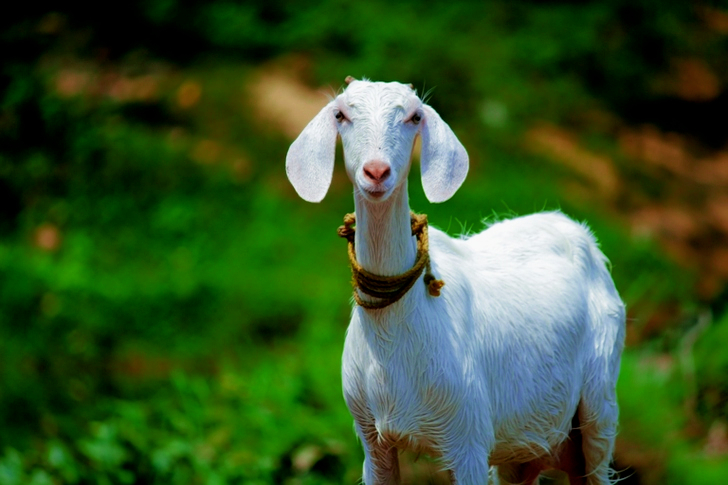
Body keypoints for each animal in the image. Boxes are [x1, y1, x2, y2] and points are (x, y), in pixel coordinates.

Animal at [285, 78, 625, 485]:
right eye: (340, 114)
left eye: (414, 116)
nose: (377, 172)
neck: (397, 335)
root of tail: (576, 229)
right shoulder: (371, 437)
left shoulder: (468, 437)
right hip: (523, 448)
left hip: (600, 403)